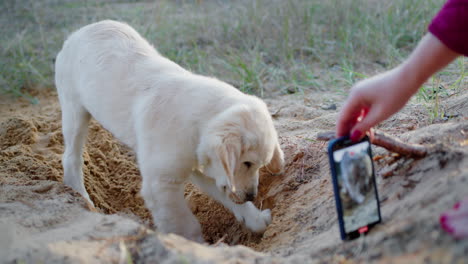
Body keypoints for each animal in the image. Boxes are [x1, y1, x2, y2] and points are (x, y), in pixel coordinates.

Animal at [53, 20, 284, 242]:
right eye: (247, 163)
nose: (252, 195)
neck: (199, 119)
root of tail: (80, 31)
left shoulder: (200, 166)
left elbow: (226, 192)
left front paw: (255, 219)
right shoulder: (161, 184)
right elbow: (183, 222)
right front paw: (193, 245)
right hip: (74, 111)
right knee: (71, 157)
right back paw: (81, 197)